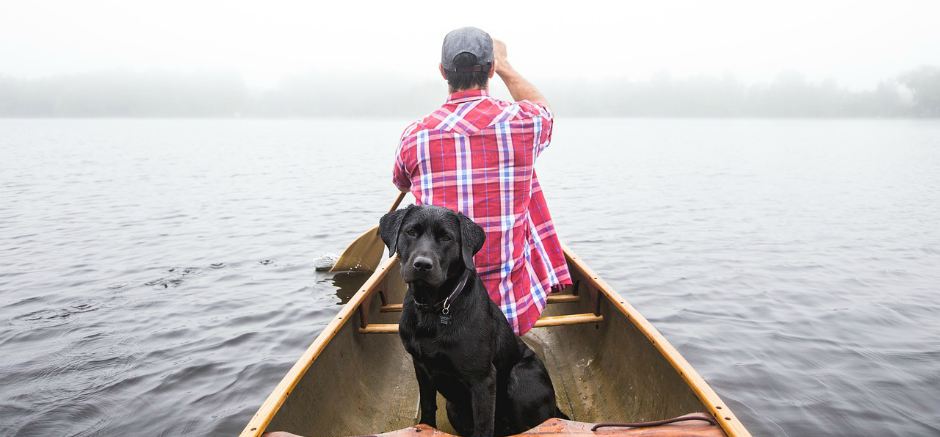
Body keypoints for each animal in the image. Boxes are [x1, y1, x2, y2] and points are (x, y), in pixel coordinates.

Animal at [380, 204, 564, 436]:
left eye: (446, 237)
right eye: (411, 232)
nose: (422, 265)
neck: (435, 309)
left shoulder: (482, 380)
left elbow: (483, 425)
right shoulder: (421, 367)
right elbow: (428, 408)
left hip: (522, 376)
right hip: (453, 407)